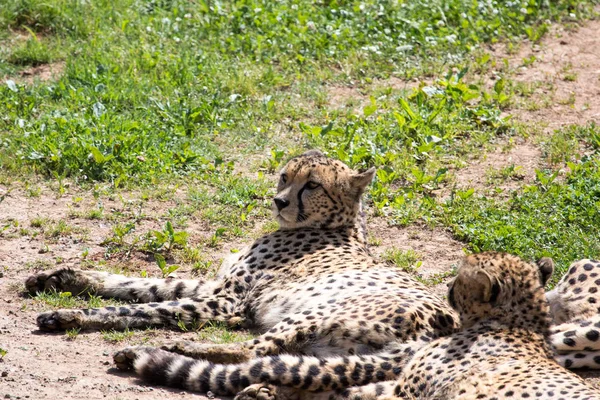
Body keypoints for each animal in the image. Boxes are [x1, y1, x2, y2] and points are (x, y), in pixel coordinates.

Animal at [23, 151, 458, 396]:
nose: (279, 201)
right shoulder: (216, 285)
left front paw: (68, 314)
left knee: (254, 351)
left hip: (319, 312)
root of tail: (446, 327)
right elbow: (139, 285)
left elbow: (138, 310)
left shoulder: (225, 301)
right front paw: (60, 279)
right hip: (334, 350)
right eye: (285, 176)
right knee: (296, 367)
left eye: (312, 185)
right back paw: (260, 389)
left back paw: (163, 351)